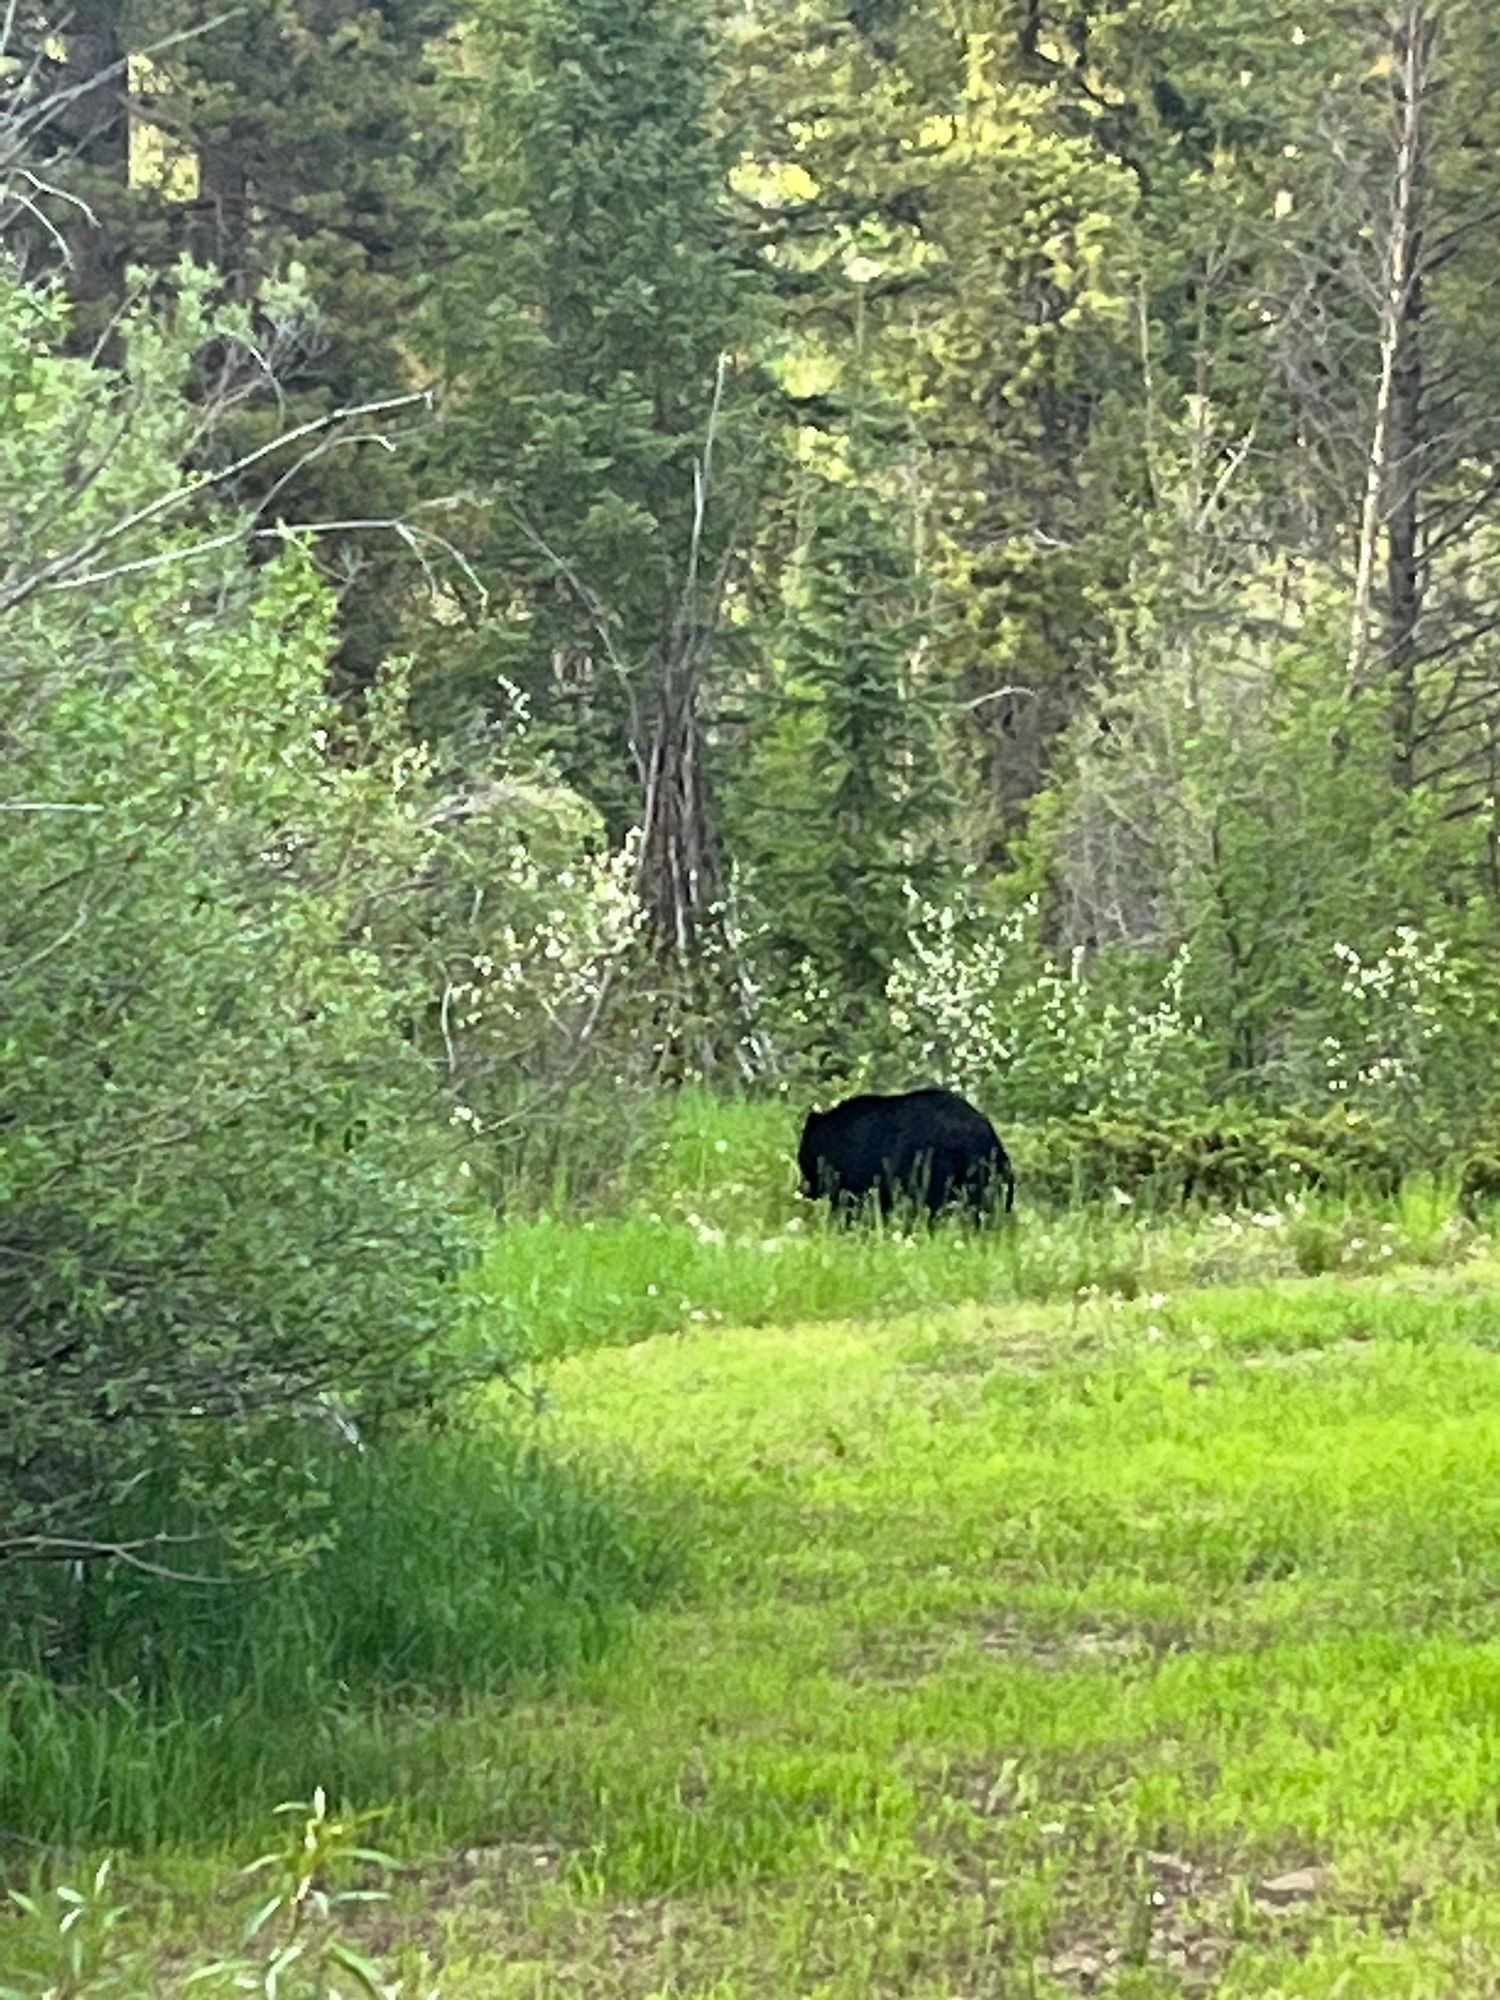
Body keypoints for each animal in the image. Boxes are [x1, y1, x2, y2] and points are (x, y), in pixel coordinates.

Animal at [797, 1087, 1015, 1219]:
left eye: (802, 1160)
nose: (803, 1189)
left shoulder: (859, 1168)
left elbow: (854, 1202)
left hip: (942, 1168)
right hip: (985, 1174)